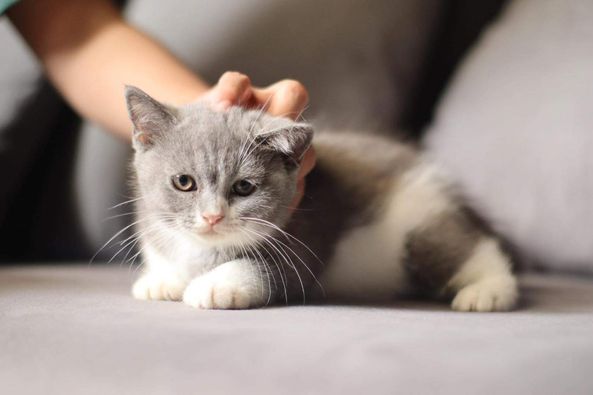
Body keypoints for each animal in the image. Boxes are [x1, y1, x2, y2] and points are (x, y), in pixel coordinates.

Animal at [126, 86, 520, 312]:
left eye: (244, 188)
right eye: (184, 182)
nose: (212, 217)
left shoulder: (305, 234)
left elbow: (267, 269)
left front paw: (215, 285)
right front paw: (162, 279)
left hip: (420, 220)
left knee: (466, 247)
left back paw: (487, 292)